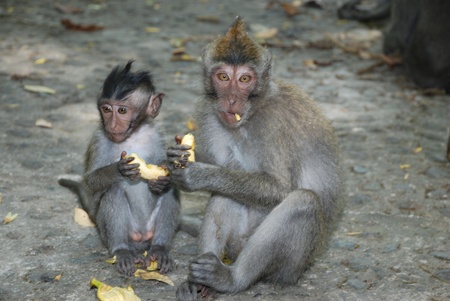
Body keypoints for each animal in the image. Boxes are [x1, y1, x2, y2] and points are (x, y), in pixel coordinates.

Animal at [59, 60, 180, 274]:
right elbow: (90, 182)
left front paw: (162, 180)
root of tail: (141, 240)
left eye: (122, 111)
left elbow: (166, 173)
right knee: (113, 192)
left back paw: (160, 249)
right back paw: (122, 250)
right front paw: (119, 170)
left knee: (171, 192)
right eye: (106, 109)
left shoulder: (157, 133)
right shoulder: (99, 138)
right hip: (112, 231)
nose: (112, 124)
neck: (132, 136)